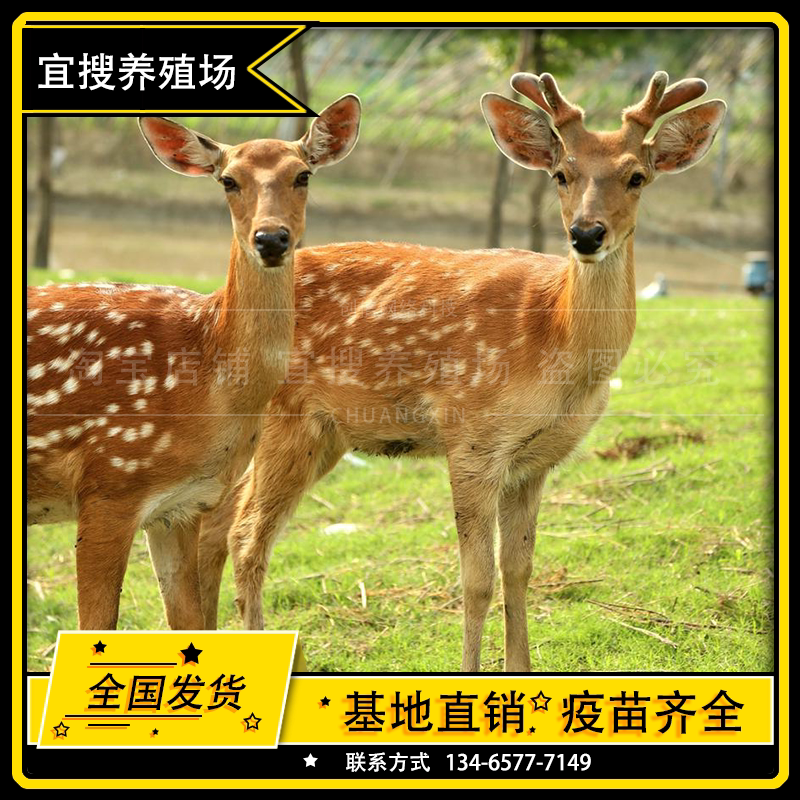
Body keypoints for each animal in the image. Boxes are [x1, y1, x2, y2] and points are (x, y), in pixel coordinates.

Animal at [26, 95, 362, 631]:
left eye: (303, 175)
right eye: (229, 180)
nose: (271, 238)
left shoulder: (182, 506)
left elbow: (189, 620)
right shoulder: (109, 483)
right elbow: (96, 624)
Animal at [196, 72, 726, 671]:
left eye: (637, 176)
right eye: (562, 174)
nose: (586, 234)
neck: (554, 338)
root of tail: (216, 307)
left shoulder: (535, 459)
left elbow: (519, 570)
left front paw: (521, 672)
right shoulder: (471, 435)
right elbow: (477, 579)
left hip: (316, 436)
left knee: (217, 527)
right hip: (287, 424)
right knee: (246, 537)